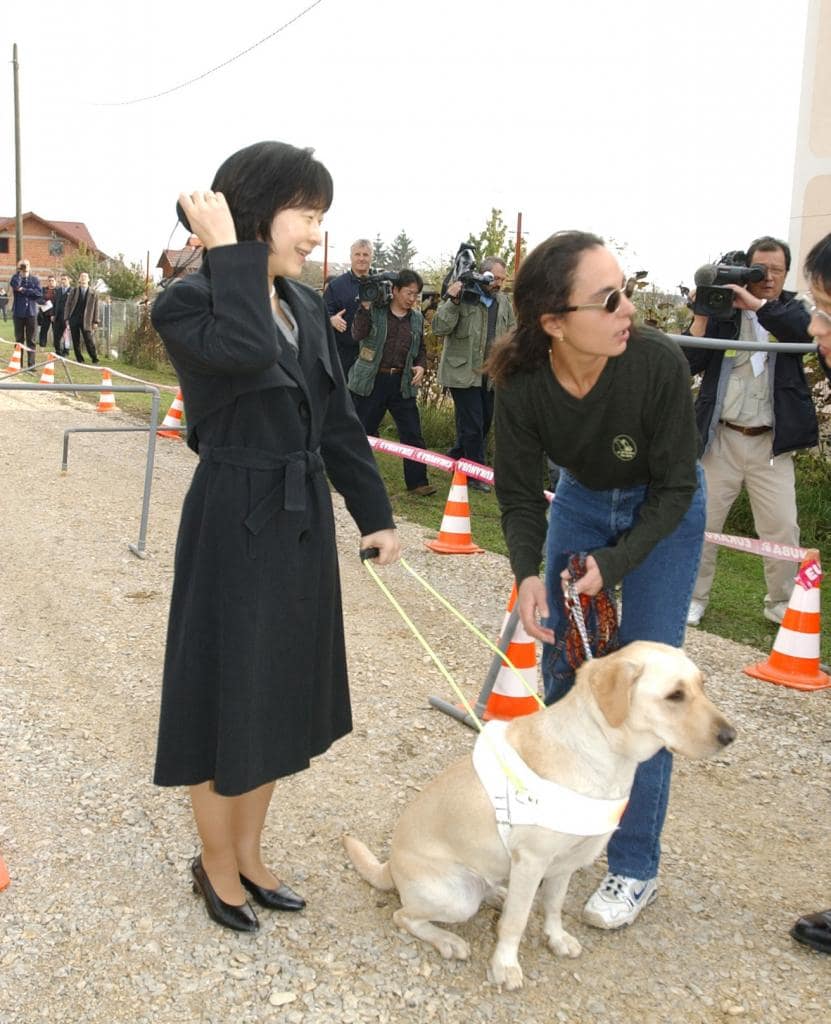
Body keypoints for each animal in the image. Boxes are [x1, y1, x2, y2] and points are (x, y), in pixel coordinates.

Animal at [341, 643, 732, 987]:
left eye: (702, 685)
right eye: (675, 695)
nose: (731, 735)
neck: (604, 755)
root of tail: (389, 866)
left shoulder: (564, 864)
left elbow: (554, 906)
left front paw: (556, 938)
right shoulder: (532, 861)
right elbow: (515, 922)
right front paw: (505, 966)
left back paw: (496, 893)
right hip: (456, 898)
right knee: (404, 916)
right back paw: (448, 940)